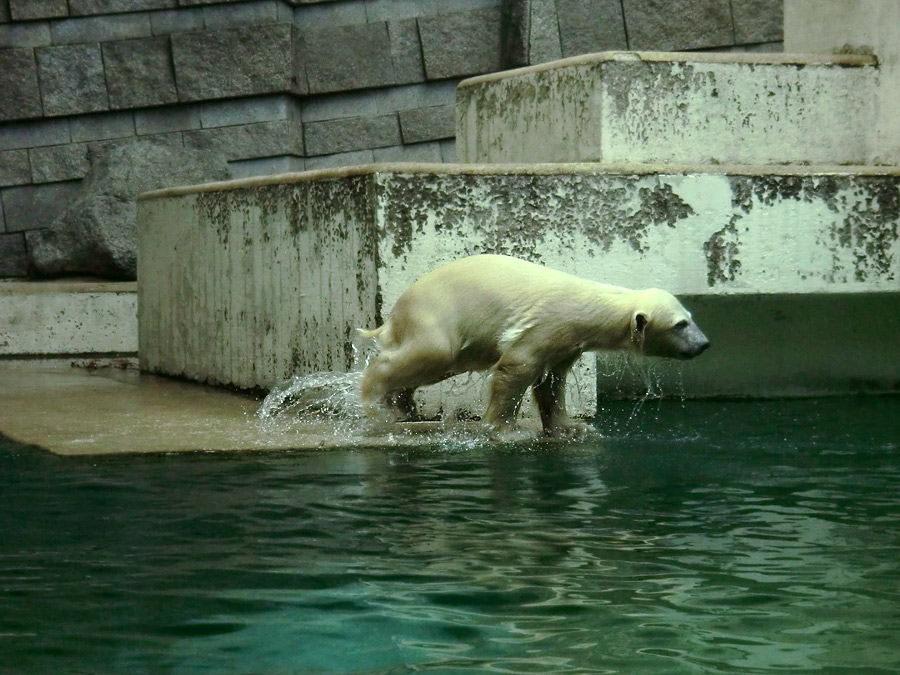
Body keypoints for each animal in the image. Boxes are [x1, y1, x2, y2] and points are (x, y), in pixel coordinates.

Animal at [360, 254, 712, 438]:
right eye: (680, 324)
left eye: (691, 317)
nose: (704, 344)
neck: (591, 305)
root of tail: (395, 312)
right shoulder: (549, 324)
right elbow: (519, 365)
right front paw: (505, 431)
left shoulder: (567, 342)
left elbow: (552, 381)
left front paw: (570, 428)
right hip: (437, 313)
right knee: (432, 352)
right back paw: (376, 405)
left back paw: (403, 406)